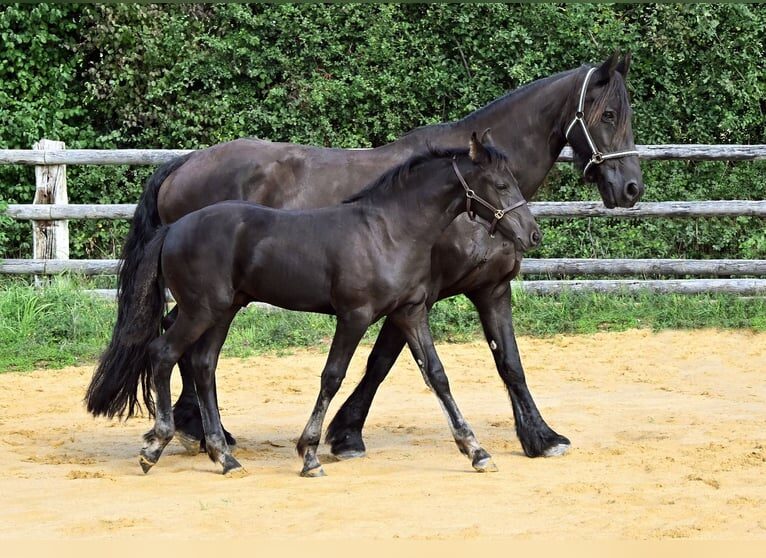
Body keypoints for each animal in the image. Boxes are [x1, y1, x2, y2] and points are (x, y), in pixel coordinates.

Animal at [88, 134, 541, 476]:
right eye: (501, 186)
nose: (532, 234)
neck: (388, 231)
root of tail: (174, 229)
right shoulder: (354, 316)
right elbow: (332, 377)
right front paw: (309, 455)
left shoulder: (409, 312)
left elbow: (438, 376)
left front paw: (477, 451)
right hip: (202, 310)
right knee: (163, 353)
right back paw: (157, 446)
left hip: (223, 311)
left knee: (203, 365)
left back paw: (224, 456)